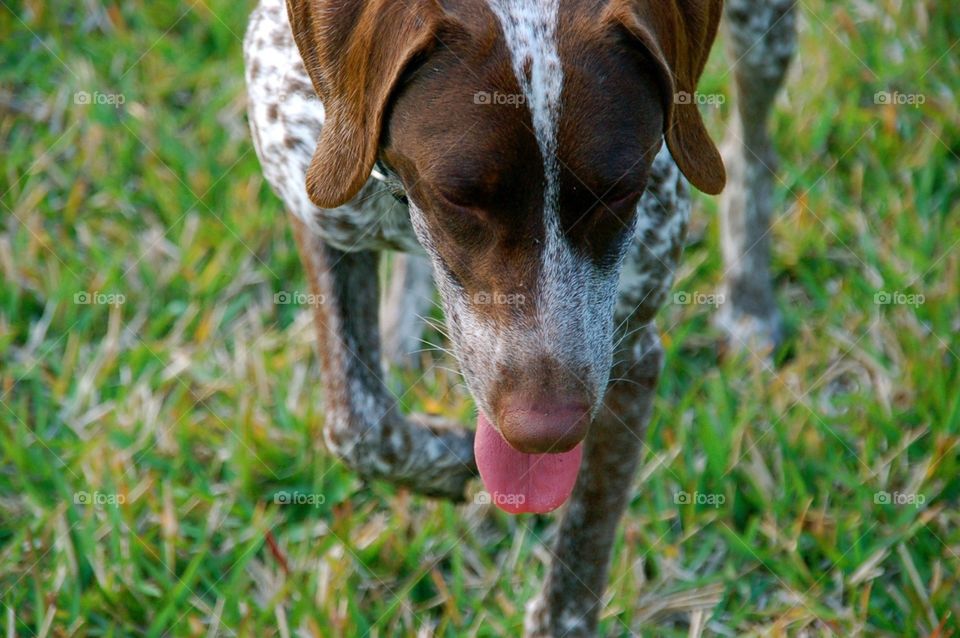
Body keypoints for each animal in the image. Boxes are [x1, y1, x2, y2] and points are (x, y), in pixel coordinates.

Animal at [246, 0, 796, 636]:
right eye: (458, 197)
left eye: (621, 192)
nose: (546, 433)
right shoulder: (322, 203)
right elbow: (357, 426)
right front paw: (454, 459)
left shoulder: (630, 354)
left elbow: (581, 552)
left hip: (764, 36)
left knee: (753, 140)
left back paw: (750, 301)